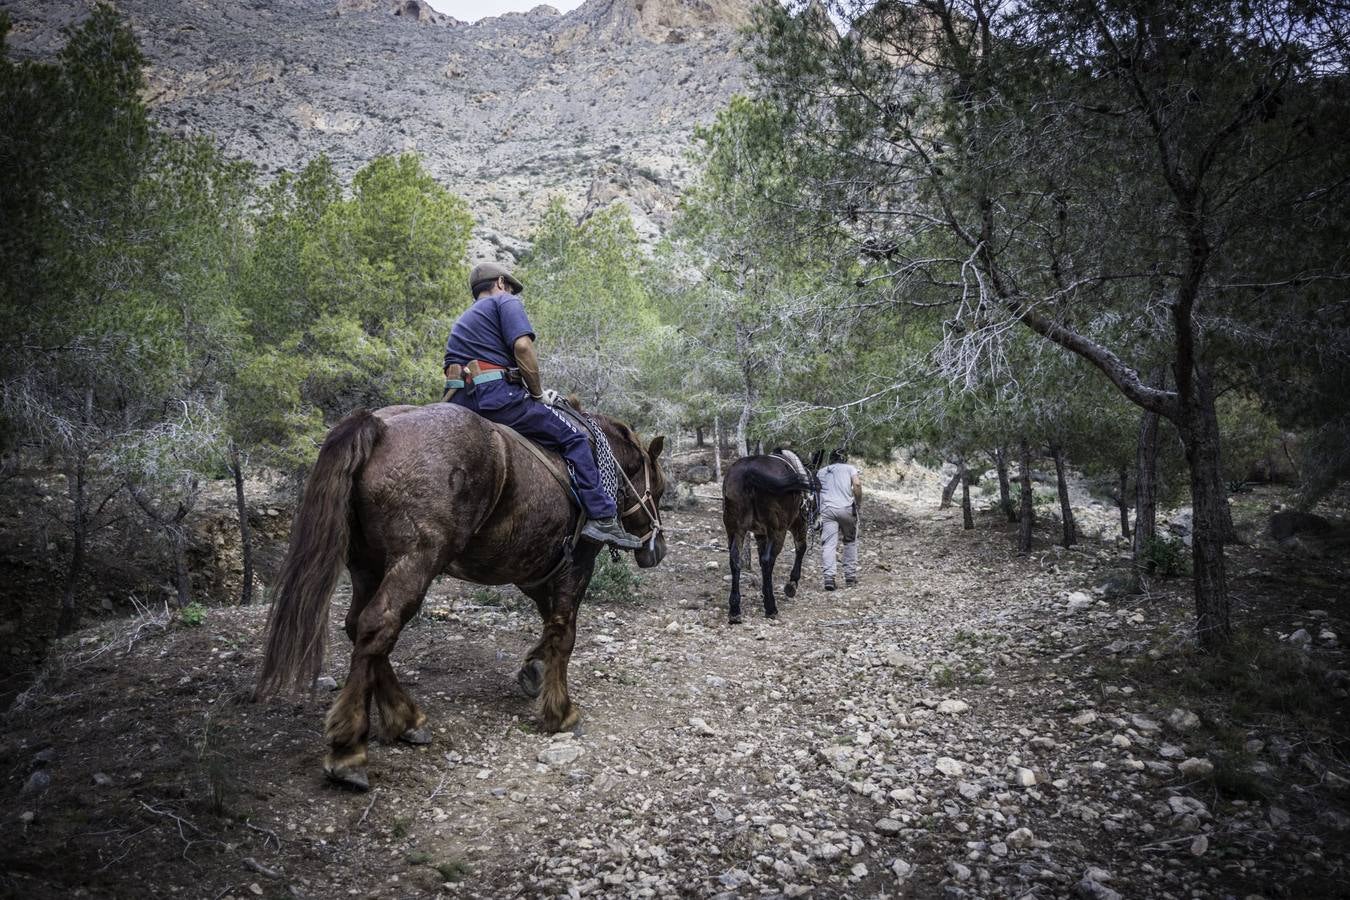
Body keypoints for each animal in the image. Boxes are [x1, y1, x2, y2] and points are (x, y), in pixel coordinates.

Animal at [255, 402, 666, 788]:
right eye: (659, 490)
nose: (657, 549)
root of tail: (381, 427)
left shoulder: (532, 567)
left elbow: (548, 622)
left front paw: (534, 669)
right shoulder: (577, 563)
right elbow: (564, 632)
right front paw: (560, 711)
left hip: (366, 565)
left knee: (360, 628)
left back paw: (405, 718)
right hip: (417, 559)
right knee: (378, 625)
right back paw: (349, 749)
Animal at [723, 453, 815, 623]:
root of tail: (749, 471)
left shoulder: (760, 534)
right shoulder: (798, 522)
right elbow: (801, 547)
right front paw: (792, 584)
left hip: (735, 529)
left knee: (735, 560)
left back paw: (735, 610)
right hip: (778, 530)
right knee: (768, 560)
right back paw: (771, 607)